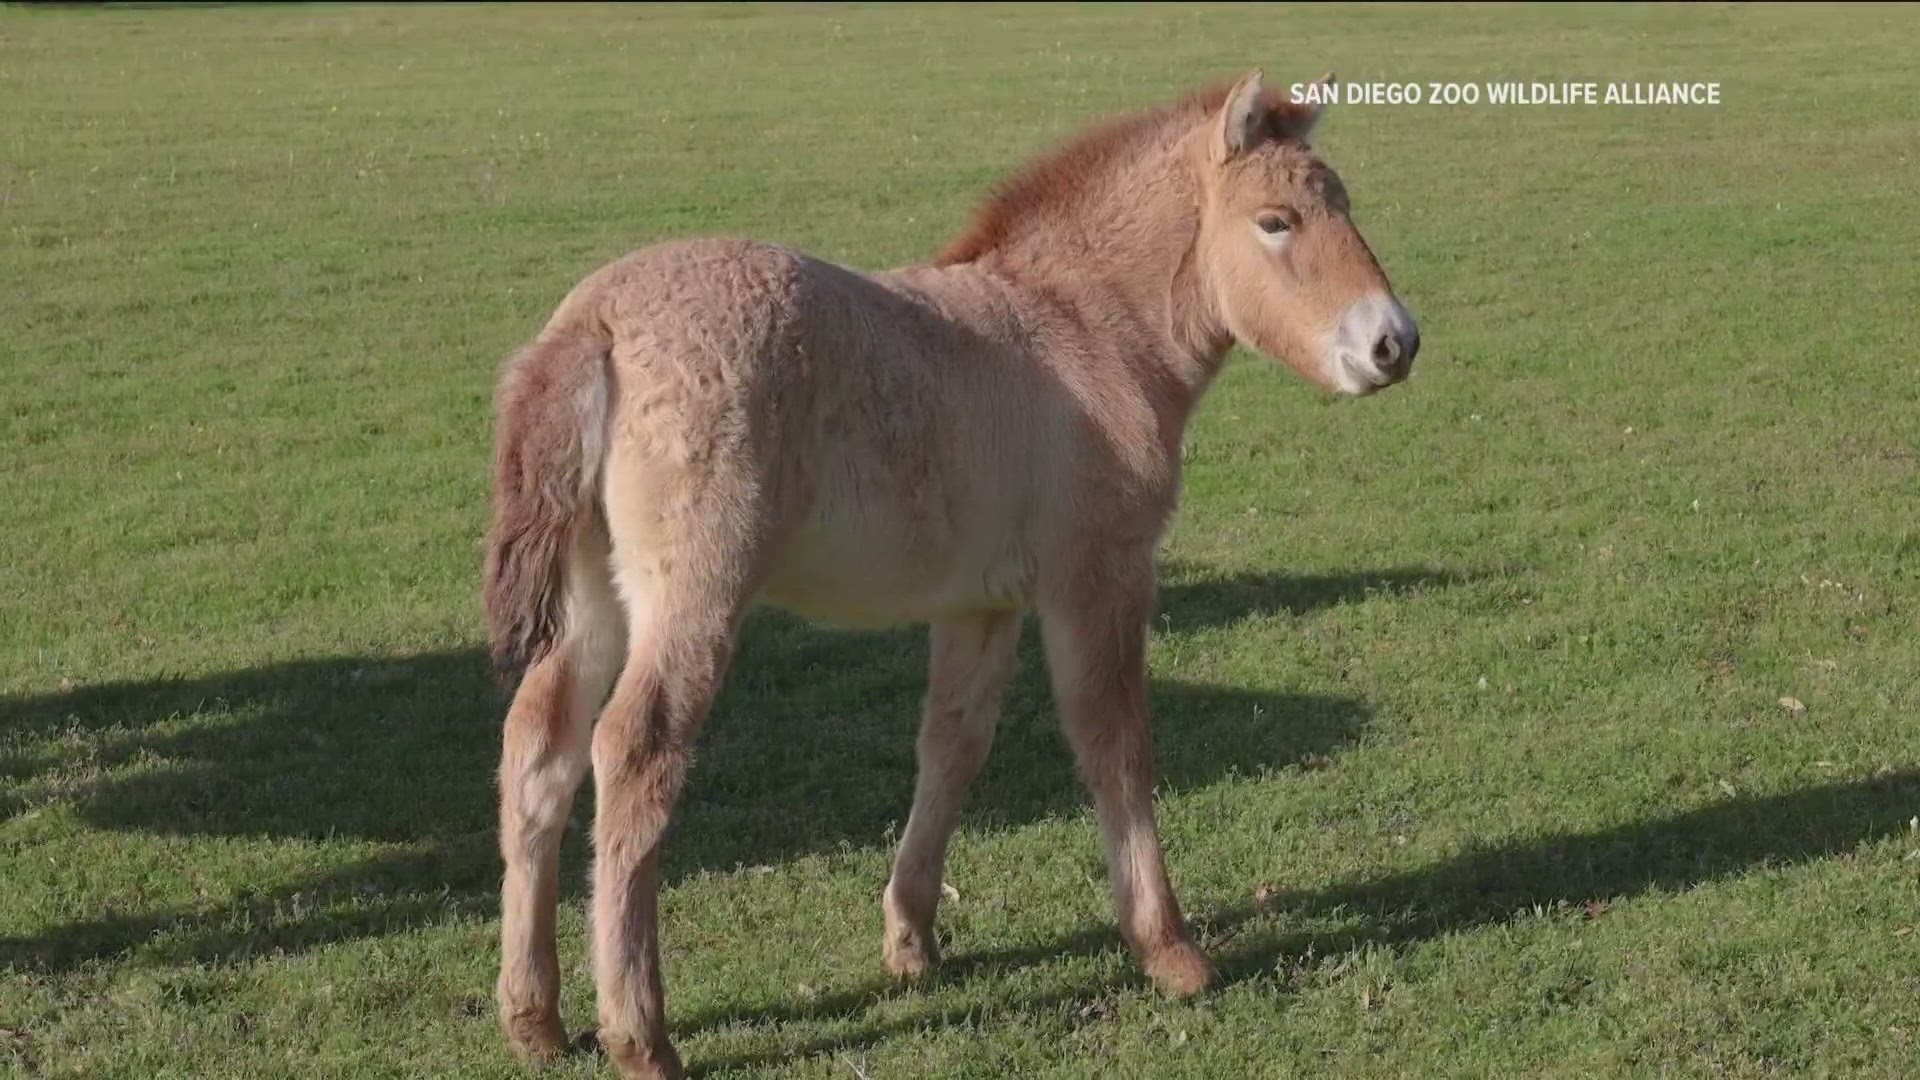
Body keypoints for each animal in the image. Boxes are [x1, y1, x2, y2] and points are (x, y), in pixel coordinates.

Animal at [487, 71, 1420, 1068]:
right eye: (1275, 221)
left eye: (1345, 205)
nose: (1394, 343)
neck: (1083, 327)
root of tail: (594, 321)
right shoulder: (1099, 574)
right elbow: (1115, 740)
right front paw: (1168, 949)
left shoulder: (982, 602)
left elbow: (953, 745)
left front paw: (911, 937)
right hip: (697, 593)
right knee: (634, 752)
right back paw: (641, 1037)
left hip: (592, 598)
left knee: (538, 748)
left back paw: (535, 1019)